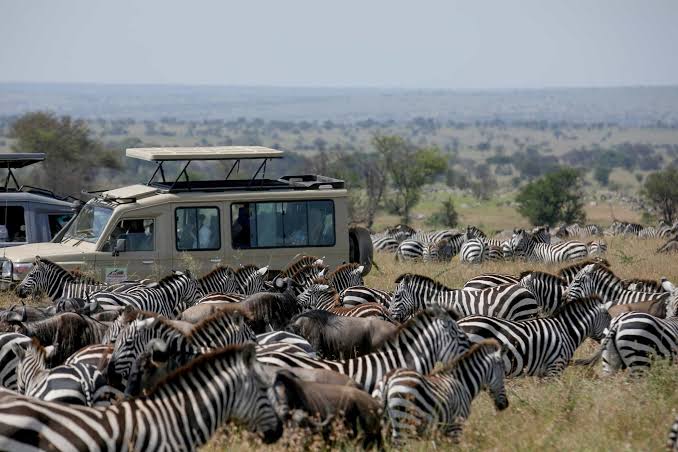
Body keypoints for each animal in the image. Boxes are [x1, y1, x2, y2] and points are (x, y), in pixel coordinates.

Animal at [373, 339, 508, 444]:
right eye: (503, 373)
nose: (505, 405)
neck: (462, 383)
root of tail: (389, 378)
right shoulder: (456, 427)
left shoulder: (439, 433)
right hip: (404, 420)